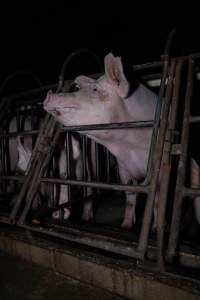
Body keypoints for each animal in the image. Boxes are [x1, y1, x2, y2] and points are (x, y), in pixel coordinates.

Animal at [43, 52, 158, 229]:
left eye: (95, 89)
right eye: (79, 88)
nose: (50, 94)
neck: (130, 149)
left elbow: (157, 199)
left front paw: (154, 228)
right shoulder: (123, 167)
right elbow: (129, 195)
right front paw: (125, 226)